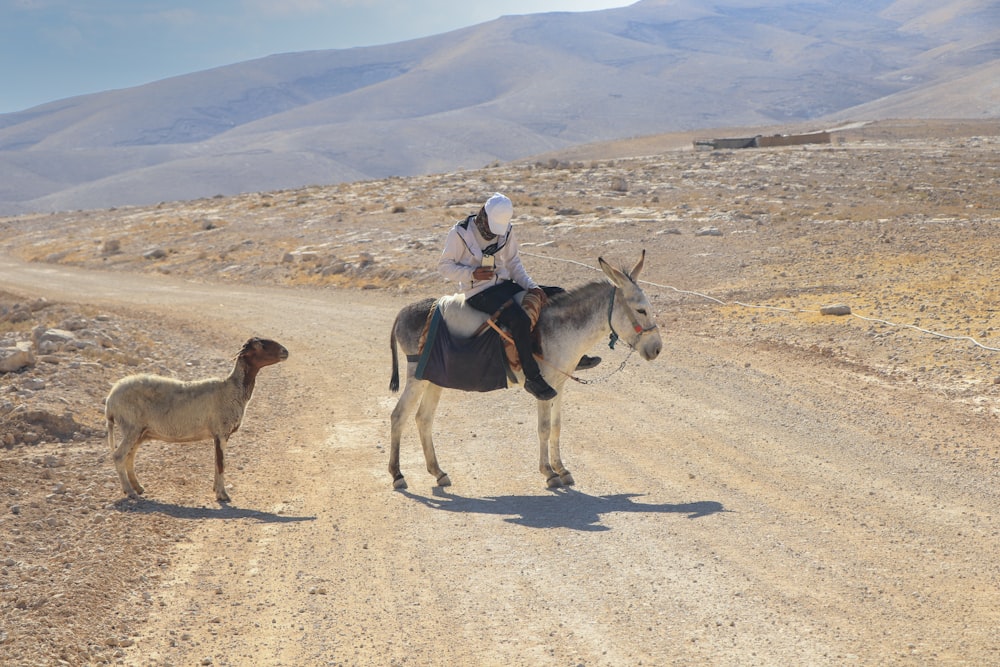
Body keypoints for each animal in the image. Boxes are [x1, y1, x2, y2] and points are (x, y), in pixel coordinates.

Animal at [104, 340, 288, 500]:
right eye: (261, 346)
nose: (285, 351)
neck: (231, 389)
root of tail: (110, 400)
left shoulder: (218, 435)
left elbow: (216, 462)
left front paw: (216, 489)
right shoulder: (221, 431)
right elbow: (221, 464)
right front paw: (222, 495)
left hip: (140, 431)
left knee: (129, 456)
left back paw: (138, 487)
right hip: (131, 426)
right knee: (119, 456)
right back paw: (130, 491)